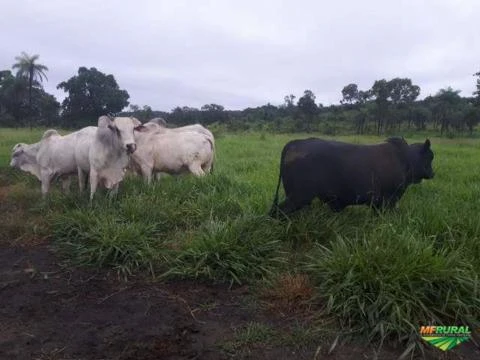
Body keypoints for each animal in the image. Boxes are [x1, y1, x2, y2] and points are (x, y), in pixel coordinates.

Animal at [270, 137, 436, 217]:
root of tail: (295, 143)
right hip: (298, 197)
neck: (405, 159)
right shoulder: (388, 200)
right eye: (430, 157)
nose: (433, 173)